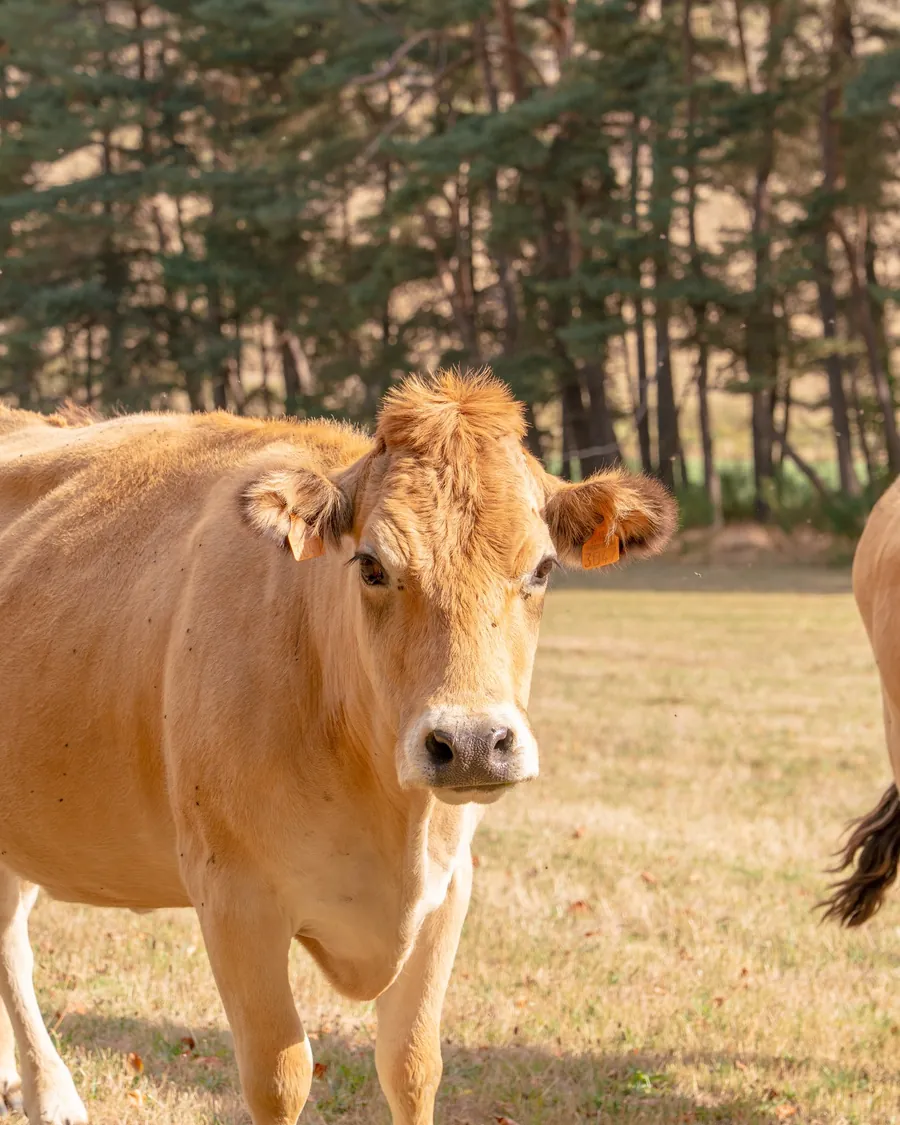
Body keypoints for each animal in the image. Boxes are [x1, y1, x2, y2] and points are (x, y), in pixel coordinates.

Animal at [0, 371, 677, 1125]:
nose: (472, 742)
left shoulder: (449, 886)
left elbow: (412, 1066)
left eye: (543, 568)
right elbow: (280, 1074)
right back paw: (51, 1092)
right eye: (373, 566)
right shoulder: (233, 896)